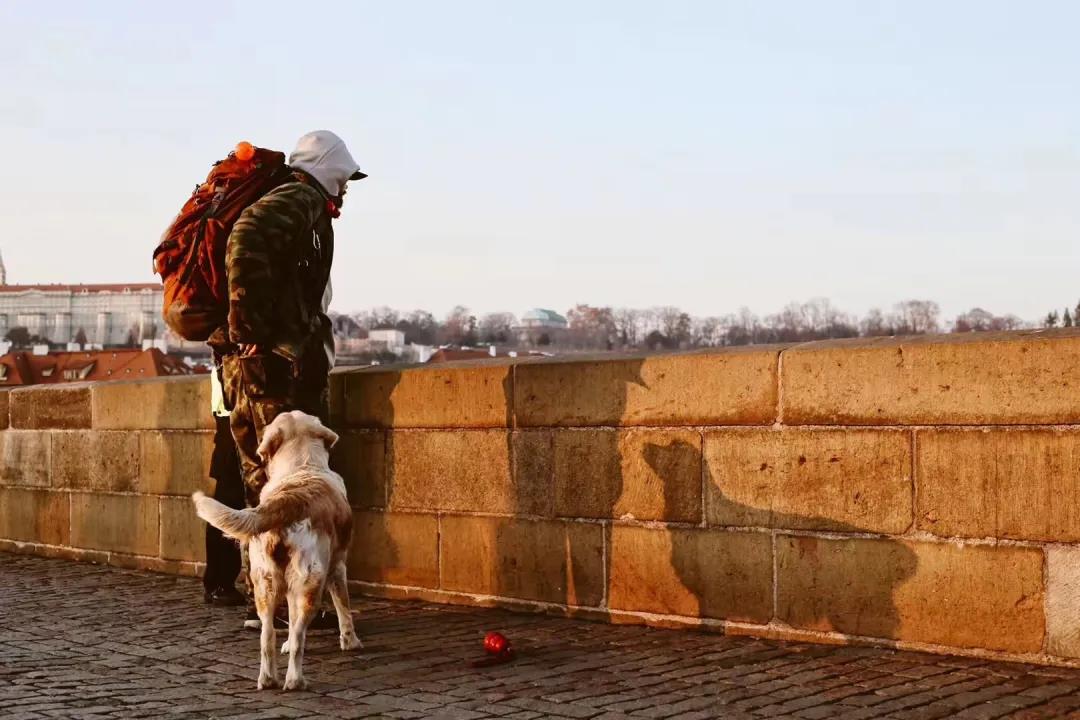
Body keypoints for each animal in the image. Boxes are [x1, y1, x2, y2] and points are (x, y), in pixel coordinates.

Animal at [192, 408, 360, 690]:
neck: (302, 464)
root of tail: (286, 501)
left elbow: (288, 625)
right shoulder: (337, 566)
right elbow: (343, 607)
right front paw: (351, 642)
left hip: (265, 584)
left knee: (267, 635)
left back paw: (268, 678)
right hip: (310, 582)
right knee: (299, 635)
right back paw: (294, 680)